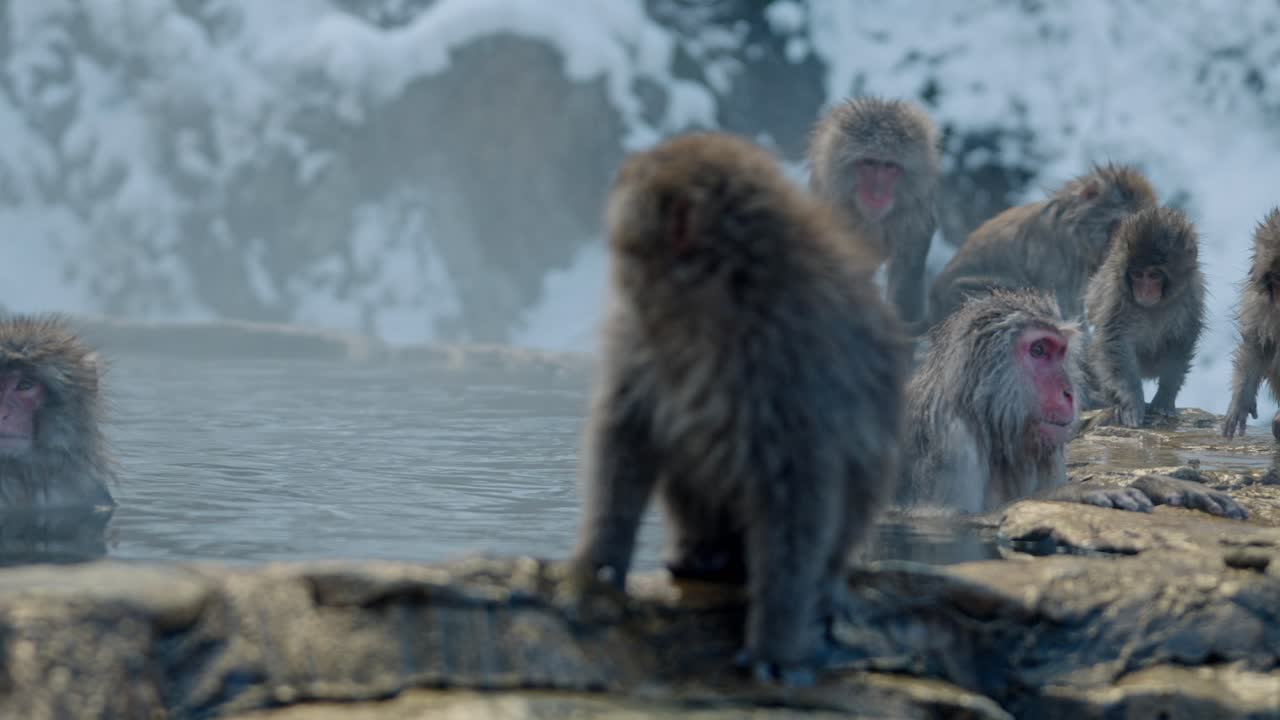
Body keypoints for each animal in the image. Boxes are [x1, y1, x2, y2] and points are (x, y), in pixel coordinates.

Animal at [570, 131, 911, 686]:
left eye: (627, 249)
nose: (619, 282)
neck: (708, 309)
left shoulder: (795, 362)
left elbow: (799, 490)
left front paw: (775, 640)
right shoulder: (640, 342)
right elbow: (627, 436)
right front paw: (597, 565)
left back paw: (819, 584)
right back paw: (703, 551)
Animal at [898, 290, 1245, 519]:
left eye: (1058, 351)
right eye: (1038, 350)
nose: (1069, 393)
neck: (989, 421)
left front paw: (1157, 484)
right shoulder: (951, 441)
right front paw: (1076, 493)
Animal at [1082, 206, 1206, 428]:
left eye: (1154, 275)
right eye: (1137, 274)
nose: (1145, 291)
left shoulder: (1190, 296)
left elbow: (1180, 340)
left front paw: (1165, 396)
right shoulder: (1116, 295)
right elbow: (1114, 340)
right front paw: (1132, 402)